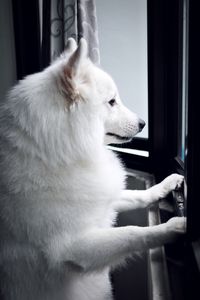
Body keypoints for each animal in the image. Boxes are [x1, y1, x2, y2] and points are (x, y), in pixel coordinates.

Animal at [0, 38, 184, 300]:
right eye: (112, 102)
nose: (143, 123)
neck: (55, 155)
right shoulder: (76, 247)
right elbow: (131, 233)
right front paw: (175, 227)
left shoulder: (102, 198)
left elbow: (139, 195)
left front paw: (167, 184)